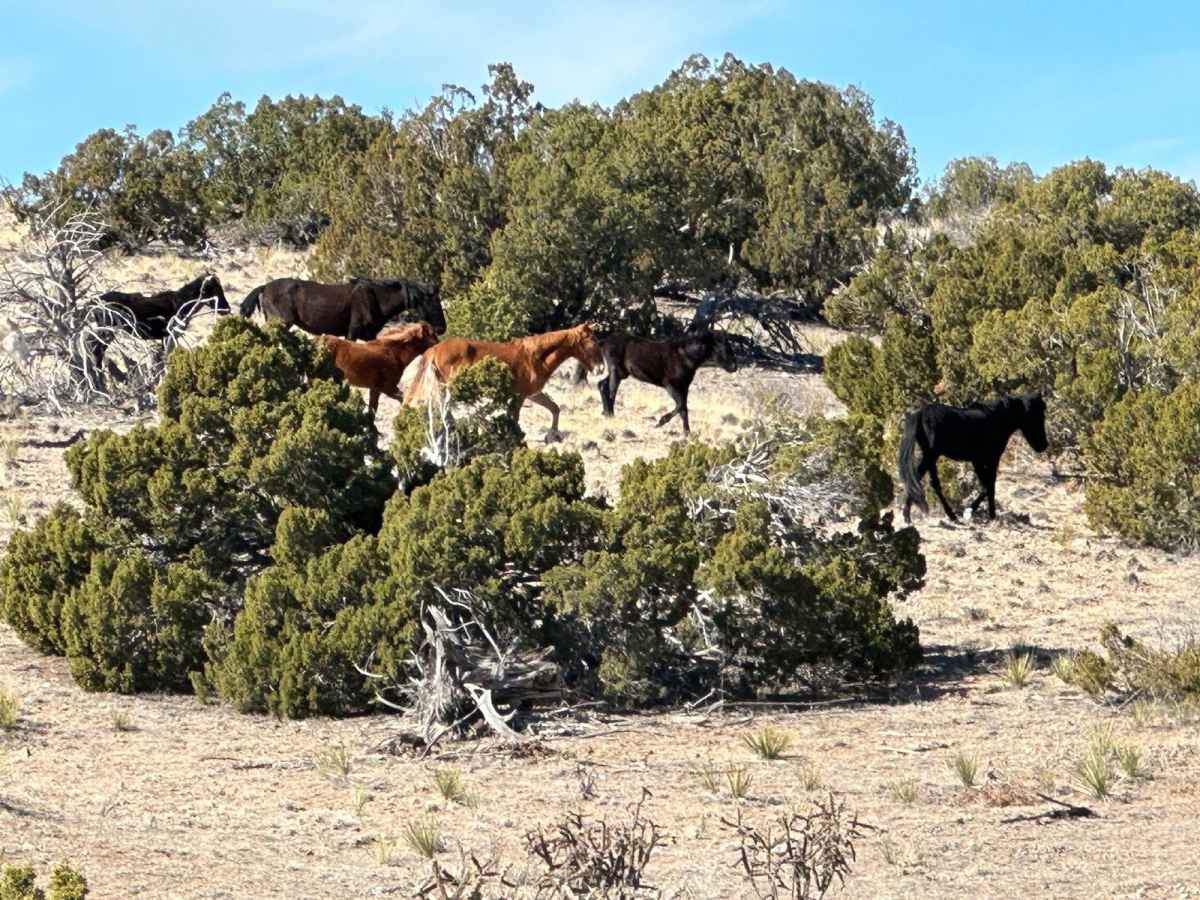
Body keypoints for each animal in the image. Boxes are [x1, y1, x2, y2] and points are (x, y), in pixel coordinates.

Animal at [239, 276, 445, 340]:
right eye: (433, 302)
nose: (442, 328)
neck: (376, 298)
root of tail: (265, 287)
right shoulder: (352, 332)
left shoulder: (370, 335)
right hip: (281, 322)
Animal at [403, 323, 604, 441]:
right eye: (592, 341)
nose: (601, 368)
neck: (534, 357)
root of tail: (435, 349)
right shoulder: (519, 396)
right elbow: (514, 418)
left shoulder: (533, 394)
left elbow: (554, 408)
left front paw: (552, 436)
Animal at [598, 330, 739, 435]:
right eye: (721, 348)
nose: (734, 367)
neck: (685, 357)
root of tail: (604, 342)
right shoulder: (671, 385)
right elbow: (681, 406)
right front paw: (660, 422)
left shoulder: (684, 387)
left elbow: (683, 408)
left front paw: (687, 432)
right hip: (616, 371)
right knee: (611, 391)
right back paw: (610, 415)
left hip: (621, 373)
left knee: (602, 385)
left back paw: (606, 413)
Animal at [898, 392, 1048, 524]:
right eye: (1036, 416)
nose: (1043, 445)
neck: (997, 419)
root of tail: (920, 413)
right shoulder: (989, 459)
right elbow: (988, 486)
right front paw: (973, 512)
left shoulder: (979, 460)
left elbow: (988, 485)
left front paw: (988, 514)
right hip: (931, 455)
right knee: (920, 479)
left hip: (930, 456)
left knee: (925, 481)